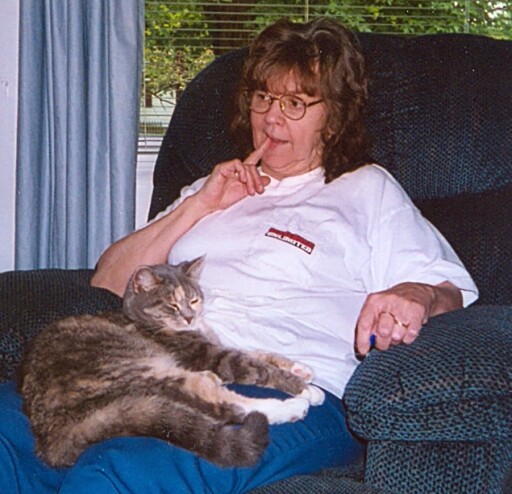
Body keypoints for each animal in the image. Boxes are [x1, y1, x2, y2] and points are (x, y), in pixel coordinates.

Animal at [21, 256, 324, 468]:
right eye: (172, 305)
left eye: (194, 299)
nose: (190, 317)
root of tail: (52, 432)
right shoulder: (213, 357)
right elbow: (256, 366)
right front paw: (303, 388)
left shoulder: (217, 345)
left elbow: (258, 352)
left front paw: (300, 368)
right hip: (144, 369)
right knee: (224, 405)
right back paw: (293, 407)